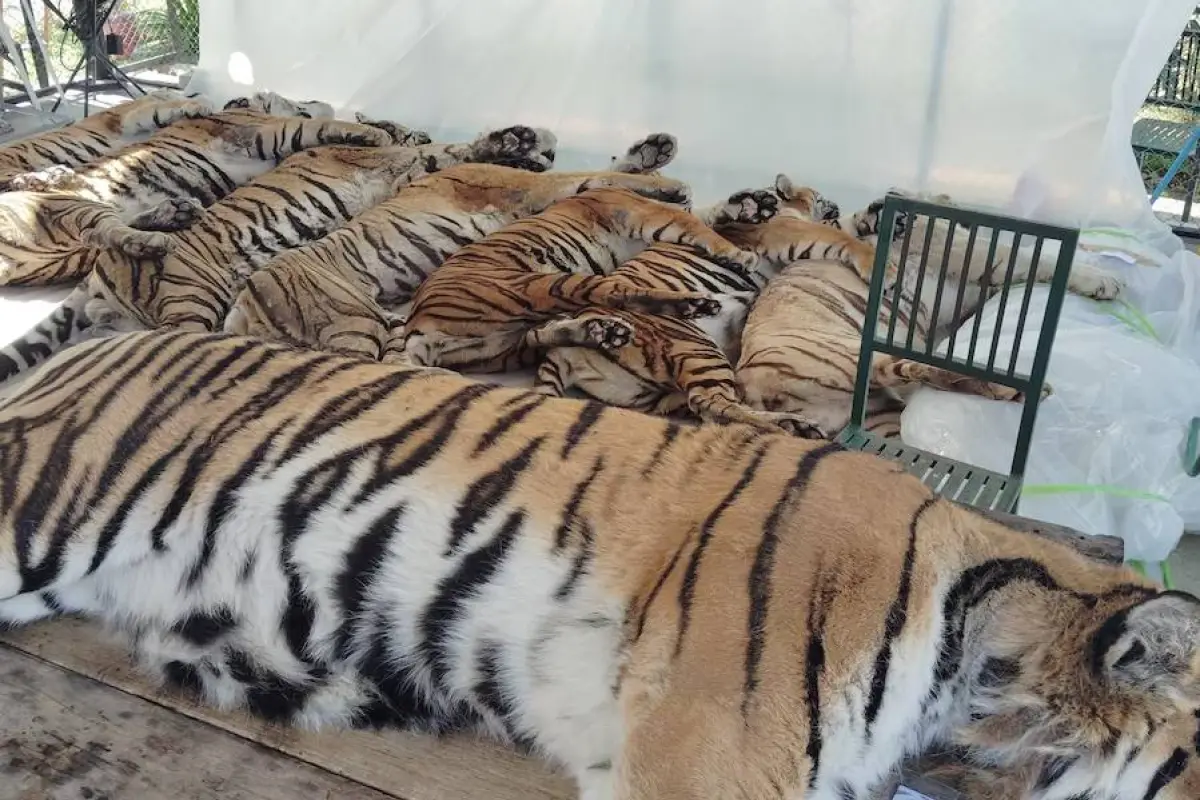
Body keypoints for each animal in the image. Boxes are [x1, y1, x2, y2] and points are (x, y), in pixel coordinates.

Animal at [0, 88, 216, 189]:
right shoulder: (129, 118)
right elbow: (163, 106)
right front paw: (198, 106)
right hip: (8, 164)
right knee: (10, 180)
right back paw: (51, 176)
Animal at [0, 124, 557, 385]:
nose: (545, 154)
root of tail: (97, 276)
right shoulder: (405, 160)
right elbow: (448, 150)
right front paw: (513, 142)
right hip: (193, 293)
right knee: (179, 338)